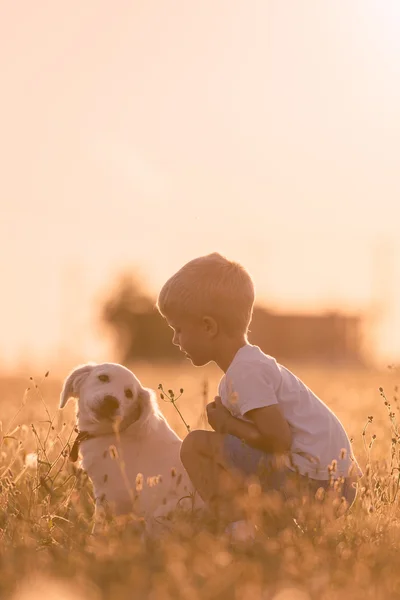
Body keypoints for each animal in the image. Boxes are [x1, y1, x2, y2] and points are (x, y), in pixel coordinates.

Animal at [59, 360, 200, 528]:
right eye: (103, 377)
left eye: (129, 394)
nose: (111, 401)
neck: (112, 431)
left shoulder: (111, 494)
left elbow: (99, 524)